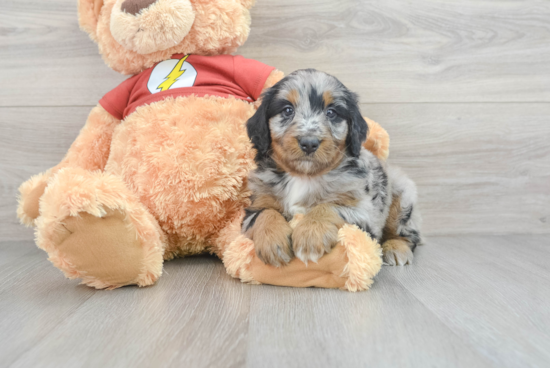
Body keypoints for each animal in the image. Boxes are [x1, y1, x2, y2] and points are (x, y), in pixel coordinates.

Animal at [243, 68, 422, 268]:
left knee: (408, 234)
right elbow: (265, 213)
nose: (309, 143)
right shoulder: (253, 207)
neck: (304, 176)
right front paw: (272, 243)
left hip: (402, 199)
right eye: (287, 110)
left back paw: (396, 248)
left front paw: (310, 235)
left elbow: (328, 207)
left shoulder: (364, 214)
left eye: (331, 112)